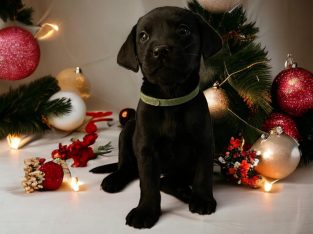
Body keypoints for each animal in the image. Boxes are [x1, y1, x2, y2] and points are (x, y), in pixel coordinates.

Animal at [91, 6, 222, 229]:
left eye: (183, 30)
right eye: (143, 36)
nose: (161, 50)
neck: (170, 98)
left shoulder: (204, 143)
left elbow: (203, 175)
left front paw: (202, 199)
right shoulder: (146, 149)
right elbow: (148, 184)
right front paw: (145, 211)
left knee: (166, 181)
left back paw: (186, 192)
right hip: (128, 129)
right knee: (129, 168)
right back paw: (114, 179)